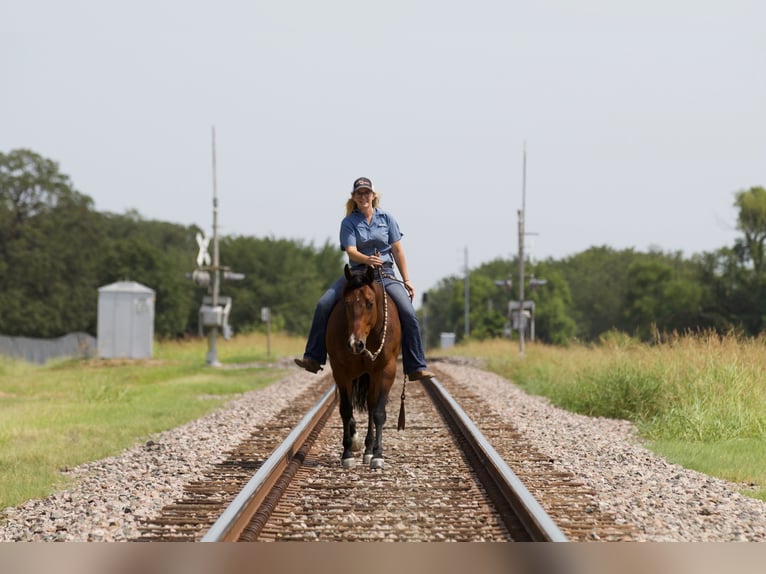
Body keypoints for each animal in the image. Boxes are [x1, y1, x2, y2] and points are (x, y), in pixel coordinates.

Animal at [328, 264, 404, 468]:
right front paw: (347, 453)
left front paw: (378, 455)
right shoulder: (341, 371)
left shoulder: (386, 370)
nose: (355, 344)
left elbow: (378, 412)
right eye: (346, 303)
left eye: (370, 303)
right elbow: (346, 410)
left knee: (371, 406)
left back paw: (369, 451)